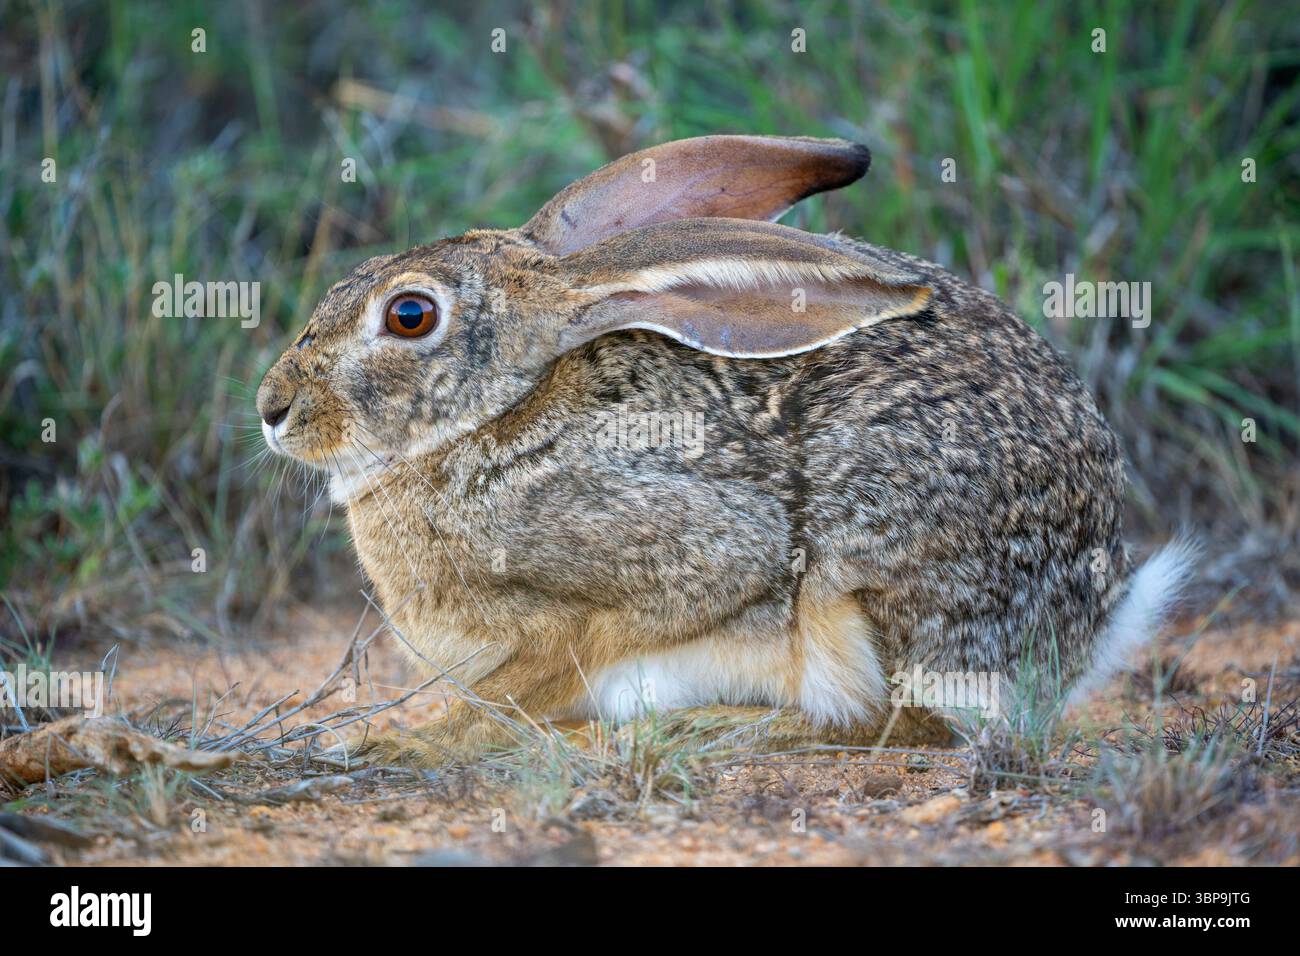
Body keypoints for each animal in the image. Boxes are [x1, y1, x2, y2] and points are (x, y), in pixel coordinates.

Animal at [256, 134, 1193, 767]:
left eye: (409, 315)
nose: (273, 407)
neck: (496, 416)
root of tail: (1093, 617)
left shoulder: (687, 552)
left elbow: (544, 671)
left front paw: (410, 742)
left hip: (867, 575)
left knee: (908, 720)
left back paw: (715, 725)